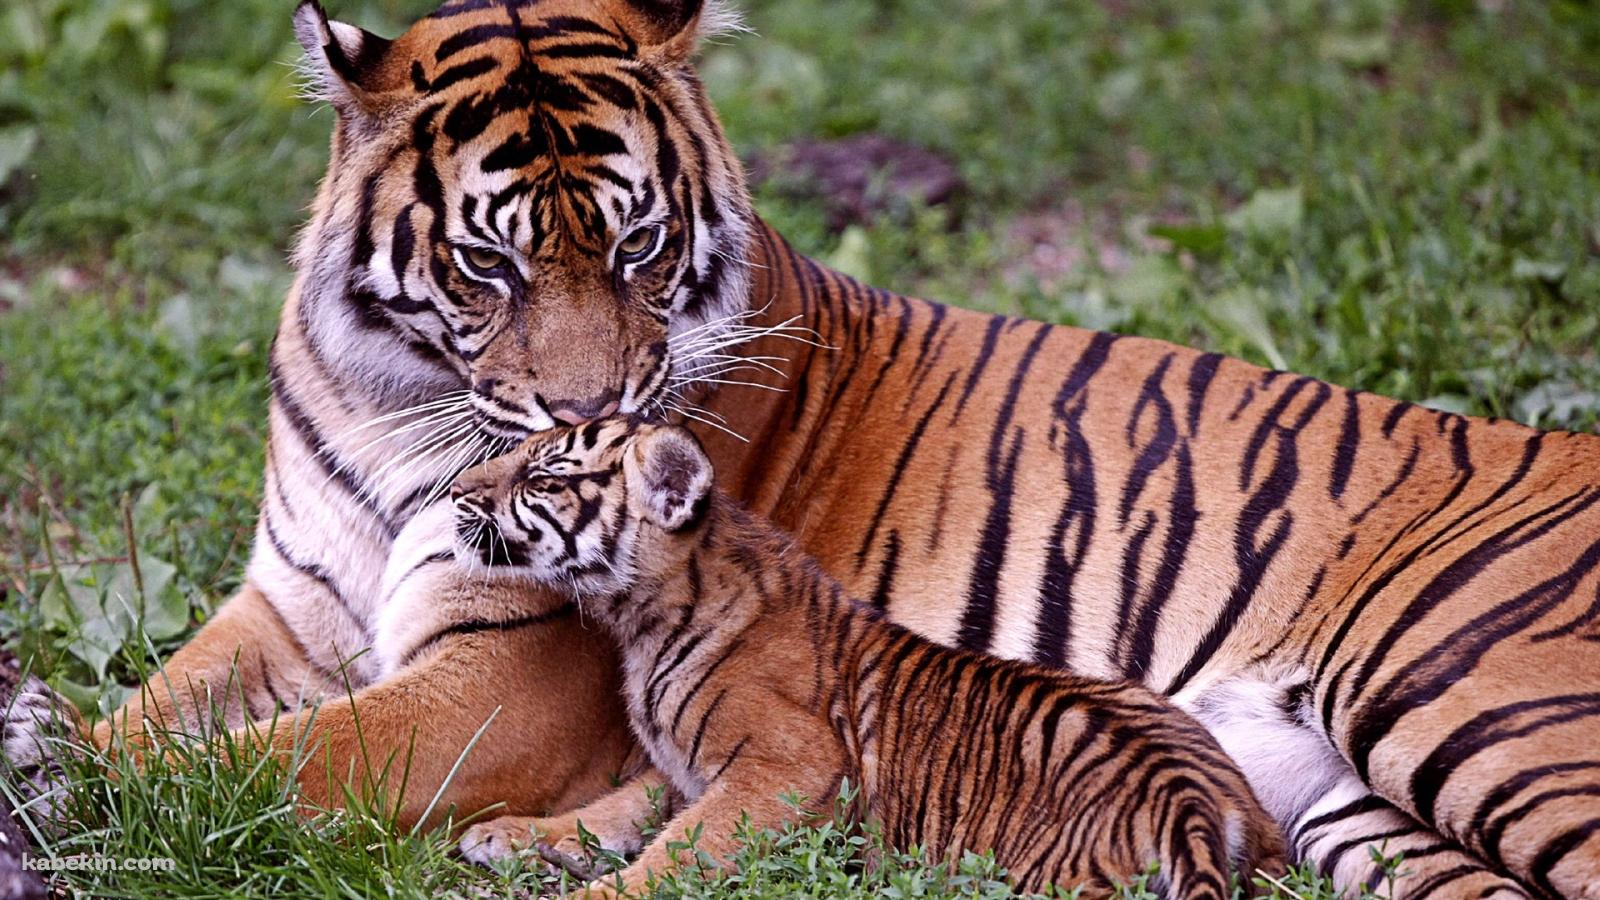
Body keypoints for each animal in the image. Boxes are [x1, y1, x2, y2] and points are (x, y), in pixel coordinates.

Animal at [412, 416, 1286, 899]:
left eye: (542, 477)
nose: (457, 491)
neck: (642, 616)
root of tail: (1193, 799)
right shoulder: (679, 769)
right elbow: (616, 810)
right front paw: (510, 835)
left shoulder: (787, 766)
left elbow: (678, 847)